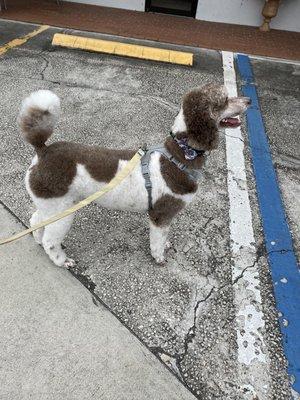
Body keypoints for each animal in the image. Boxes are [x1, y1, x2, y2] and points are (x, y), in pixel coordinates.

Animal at [19, 85, 250, 268]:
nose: (248, 100)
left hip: (52, 204)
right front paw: (159, 258)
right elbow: (157, 242)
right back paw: (61, 260)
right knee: (50, 240)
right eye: (224, 100)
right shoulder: (160, 215)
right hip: (62, 211)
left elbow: (163, 237)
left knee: (36, 220)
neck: (179, 156)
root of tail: (43, 151)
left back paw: (37, 239)